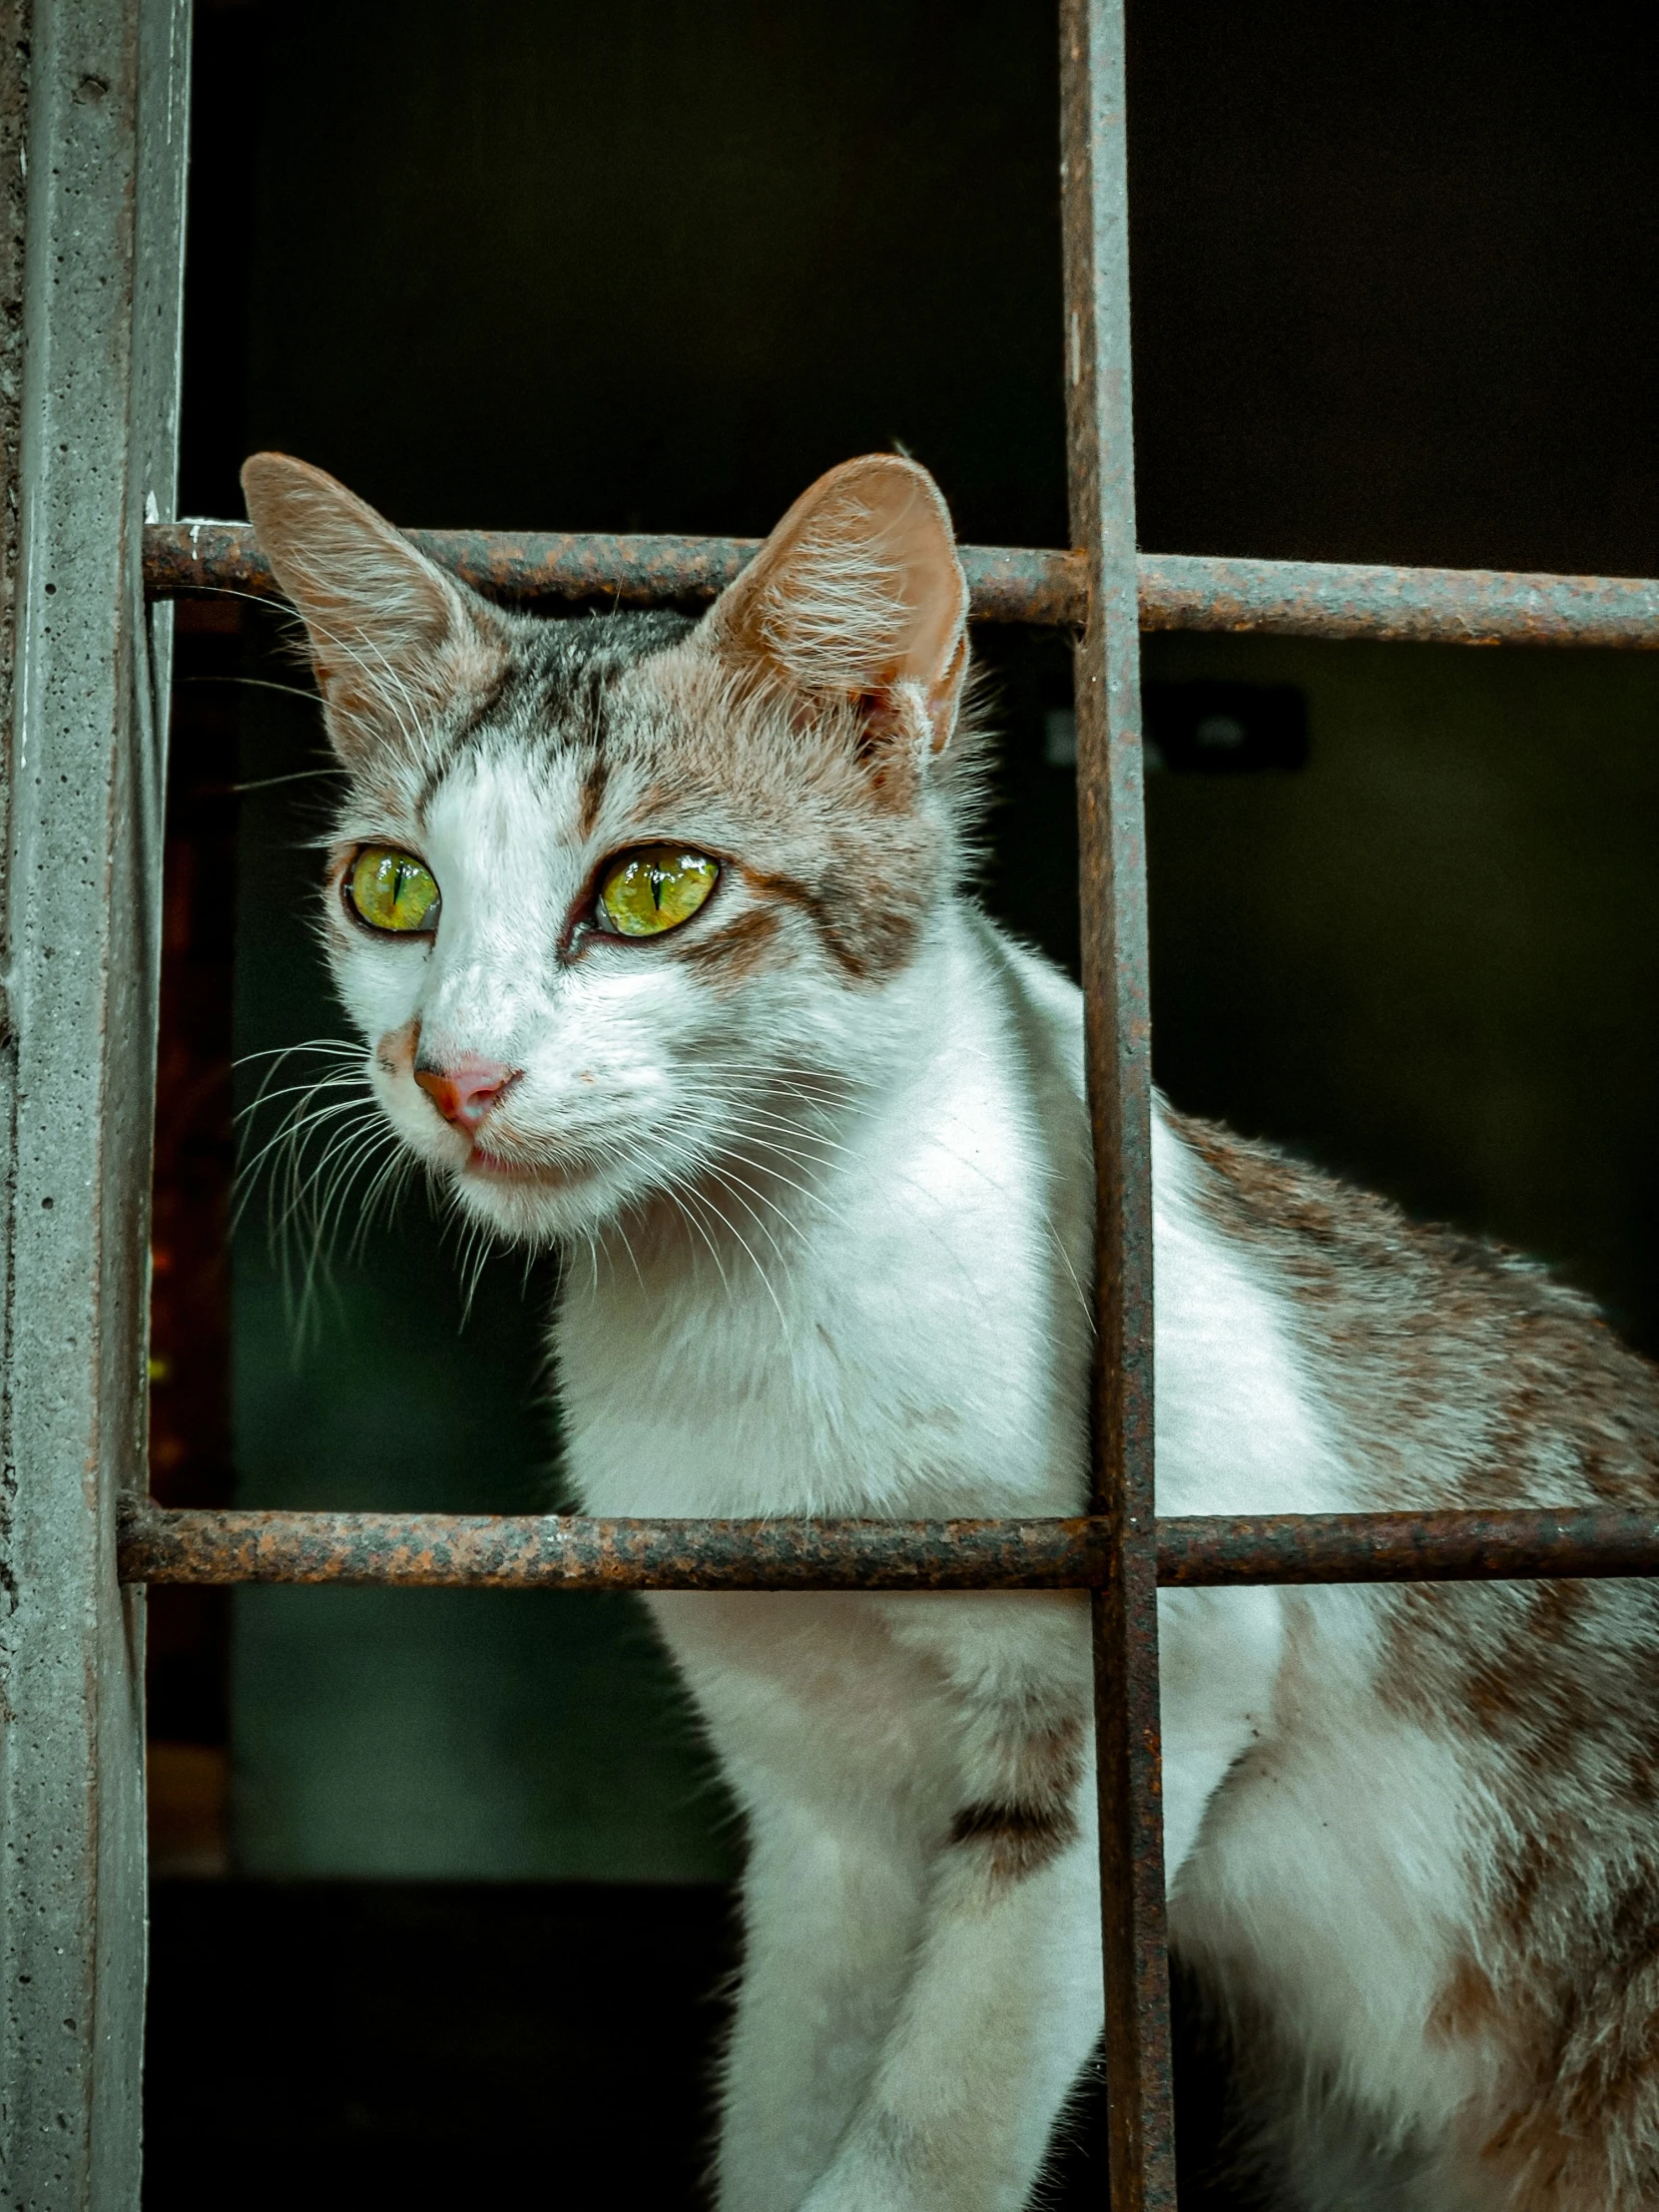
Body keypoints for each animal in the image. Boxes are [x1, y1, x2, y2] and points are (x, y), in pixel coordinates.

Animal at [240, 439, 1659, 2203]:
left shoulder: (1150, 1676)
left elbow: (933, 2119)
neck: (753, 1302)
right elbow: (791, 2096)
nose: (457, 1070)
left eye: (653, 886)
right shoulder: (814, 1792)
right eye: (391, 888)